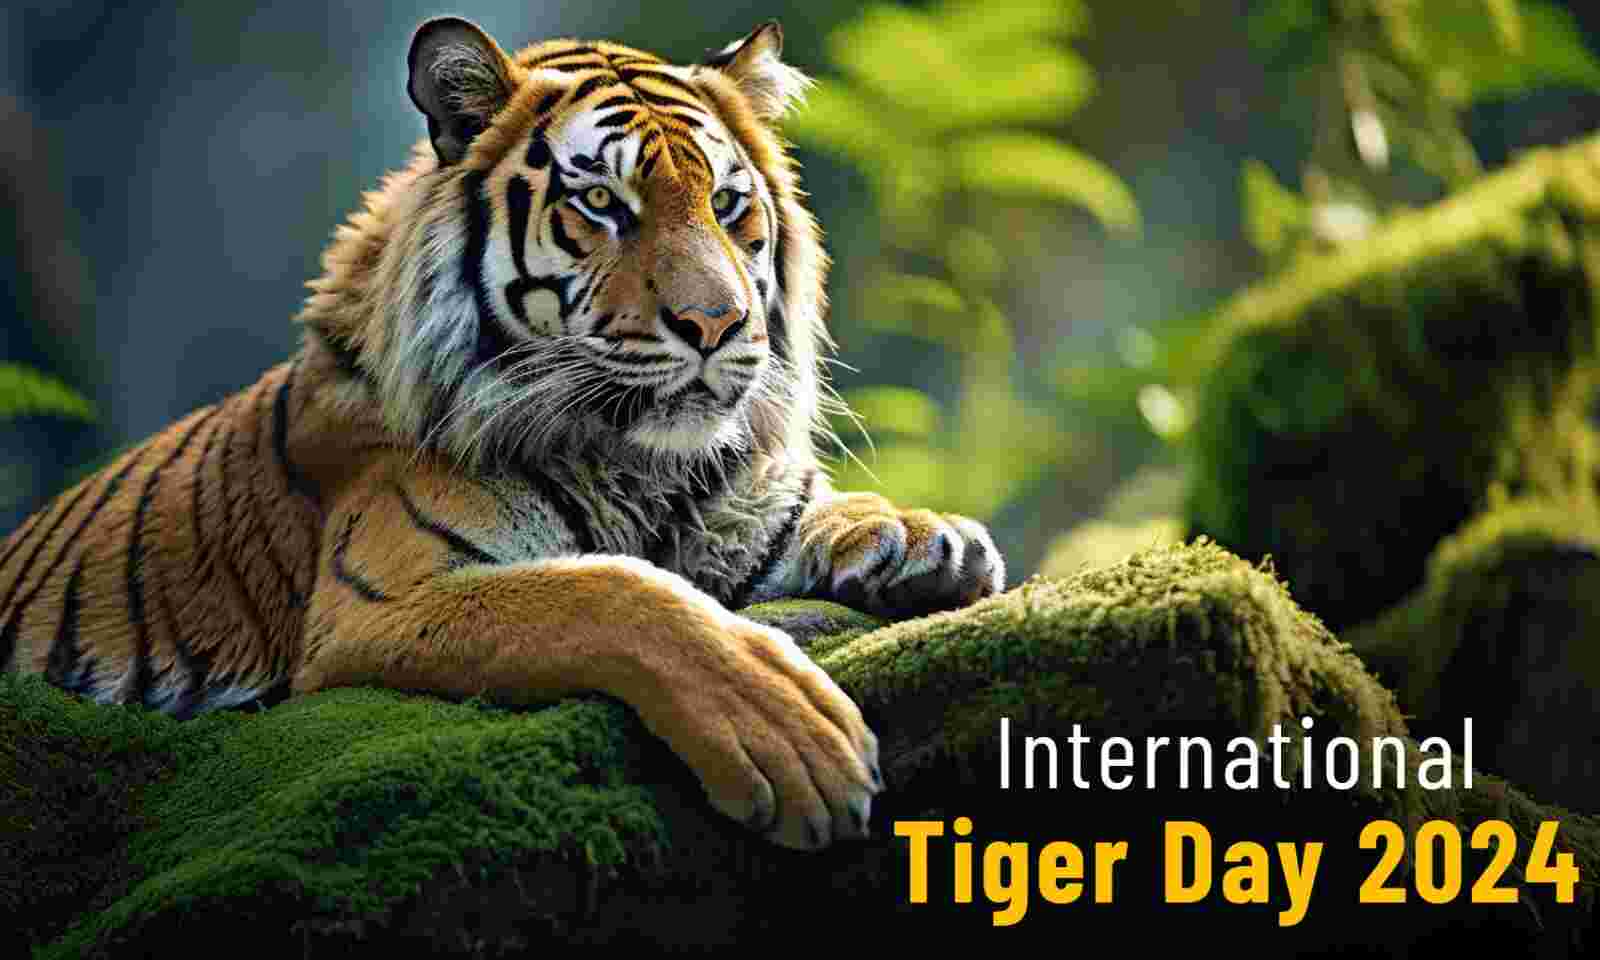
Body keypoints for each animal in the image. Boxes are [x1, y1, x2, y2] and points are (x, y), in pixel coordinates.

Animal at [0, 17, 1004, 850]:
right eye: (603, 205)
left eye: (726, 205)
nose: (716, 325)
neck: (642, 464)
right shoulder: (379, 604)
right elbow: (610, 593)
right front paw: (791, 738)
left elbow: (808, 512)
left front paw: (926, 537)